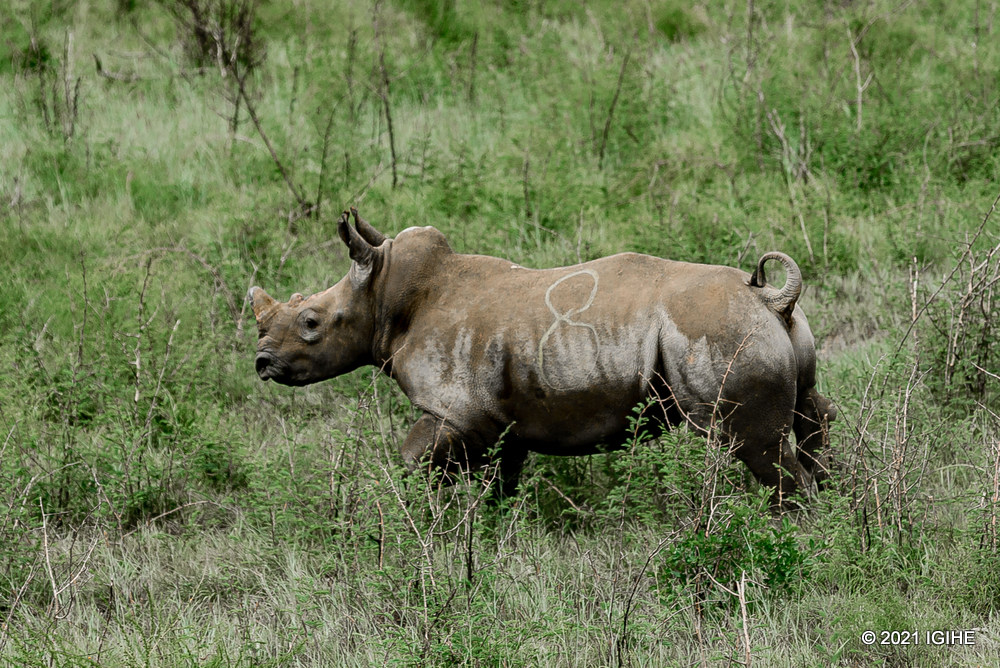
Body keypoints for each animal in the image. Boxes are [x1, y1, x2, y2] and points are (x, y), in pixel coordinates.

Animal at [249, 208, 836, 504]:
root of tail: (768, 298)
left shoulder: (458, 413)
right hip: (761, 330)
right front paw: (490, 532)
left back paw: (791, 536)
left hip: (719, 331)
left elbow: (413, 457)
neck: (384, 298)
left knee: (754, 445)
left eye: (311, 323)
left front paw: (424, 519)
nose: (262, 363)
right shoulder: (500, 419)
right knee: (811, 410)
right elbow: (502, 483)